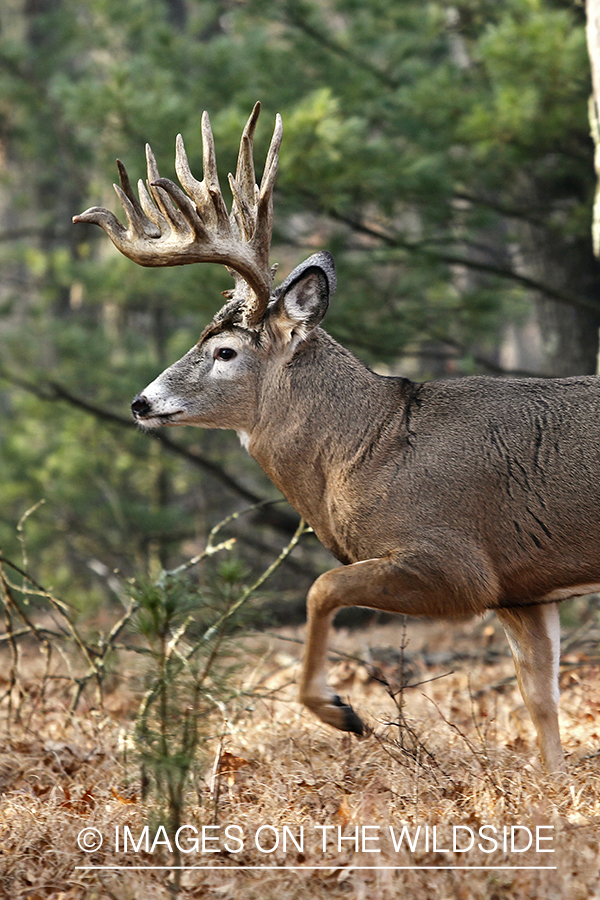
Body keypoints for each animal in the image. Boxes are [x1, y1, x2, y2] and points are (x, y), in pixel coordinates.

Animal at [72, 100, 600, 772]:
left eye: (224, 351)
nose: (142, 403)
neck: (366, 445)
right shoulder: (523, 590)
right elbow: (541, 702)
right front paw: (555, 788)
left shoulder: (457, 563)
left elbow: (321, 588)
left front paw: (340, 711)